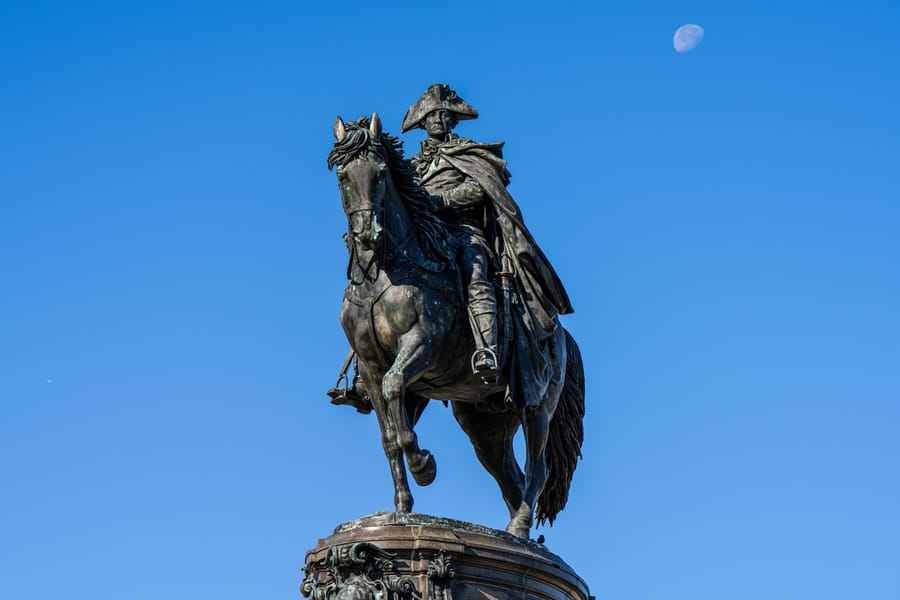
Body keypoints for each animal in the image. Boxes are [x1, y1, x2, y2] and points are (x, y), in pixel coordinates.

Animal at [326, 112, 588, 540]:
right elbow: (389, 437)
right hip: (485, 424)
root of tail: (562, 335)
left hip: (536, 404)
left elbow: (396, 391)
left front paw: (424, 465)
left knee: (537, 468)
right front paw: (402, 508)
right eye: (343, 175)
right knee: (512, 479)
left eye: (379, 173)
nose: (367, 234)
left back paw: (519, 529)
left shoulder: (423, 344)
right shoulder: (369, 364)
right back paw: (516, 537)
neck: (384, 273)